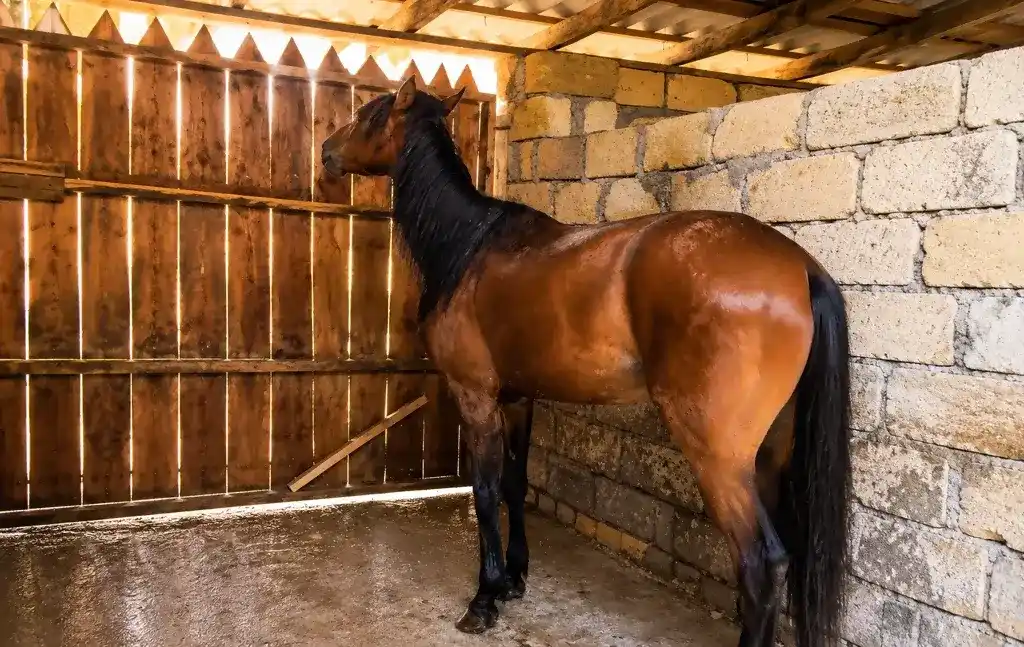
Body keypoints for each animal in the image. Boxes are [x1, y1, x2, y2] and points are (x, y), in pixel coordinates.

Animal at [320, 75, 852, 647]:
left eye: (368, 116)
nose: (326, 151)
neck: (469, 247)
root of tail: (799, 267)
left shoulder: (476, 396)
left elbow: (484, 492)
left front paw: (484, 598)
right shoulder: (519, 399)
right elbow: (515, 484)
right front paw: (514, 578)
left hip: (719, 458)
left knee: (761, 562)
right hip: (770, 455)